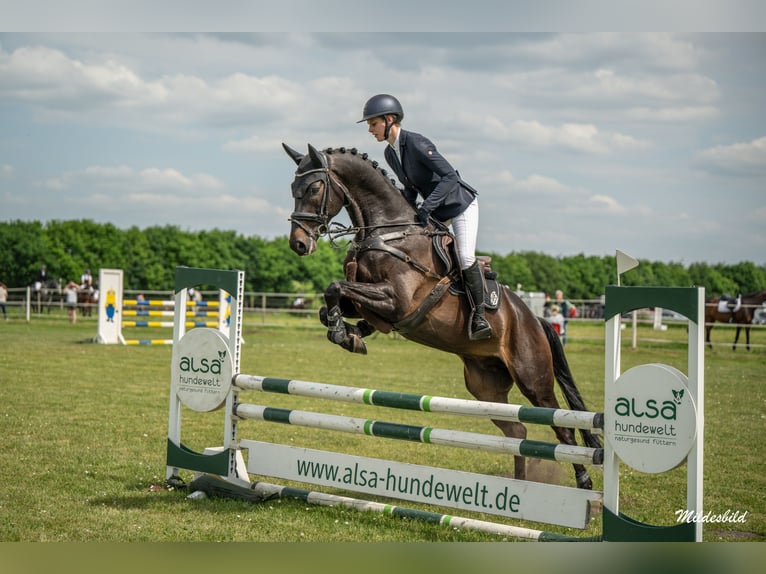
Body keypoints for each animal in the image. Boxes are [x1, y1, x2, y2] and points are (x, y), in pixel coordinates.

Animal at [284, 144, 604, 490]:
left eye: (314, 188)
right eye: (293, 188)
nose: (298, 243)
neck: (389, 233)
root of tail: (535, 321)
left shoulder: (396, 300)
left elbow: (334, 287)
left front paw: (345, 335)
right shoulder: (368, 300)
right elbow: (329, 302)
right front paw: (350, 335)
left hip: (534, 379)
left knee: (562, 428)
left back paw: (583, 482)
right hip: (485, 387)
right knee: (517, 432)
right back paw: (519, 484)